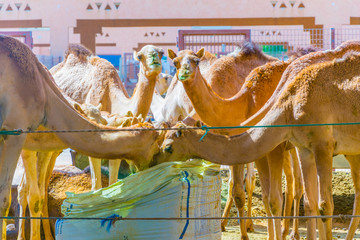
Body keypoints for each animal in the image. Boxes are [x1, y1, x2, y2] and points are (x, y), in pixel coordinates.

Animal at [160, 49, 360, 239]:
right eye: (175, 62)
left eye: (196, 61)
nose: (184, 73)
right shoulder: (272, 148)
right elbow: (263, 196)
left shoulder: (282, 146)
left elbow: (275, 199)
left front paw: (247, 234)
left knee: (299, 187)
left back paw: (292, 232)